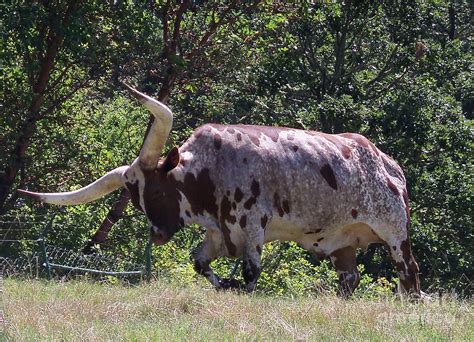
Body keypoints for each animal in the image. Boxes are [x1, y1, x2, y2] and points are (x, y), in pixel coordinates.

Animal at [17, 83, 418, 296]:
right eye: (138, 201)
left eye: (157, 193)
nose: (157, 234)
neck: (213, 168)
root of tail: (388, 163)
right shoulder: (218, 233)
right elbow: (199, 262)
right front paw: (223, 283)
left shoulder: (253, 225)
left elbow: (252, 272)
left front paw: (242, 289)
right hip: (341, 243)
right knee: (350, 277)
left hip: (396, 232)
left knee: (408, 271)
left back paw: (411, 303)